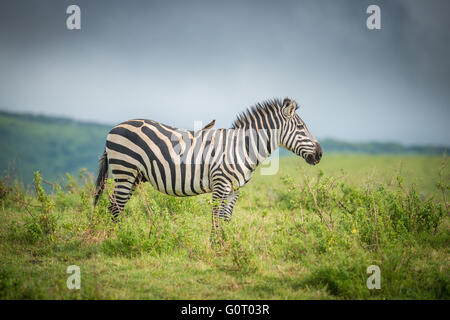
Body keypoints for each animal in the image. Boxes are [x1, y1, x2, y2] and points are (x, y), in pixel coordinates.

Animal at [93, 99, 322, 239]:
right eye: (301, 128)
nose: (320, 154)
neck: (242, 148)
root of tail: (114, 128)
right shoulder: (221, 185)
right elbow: (216, 217)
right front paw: (215, 246)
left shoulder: (234, 191)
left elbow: (226, 218)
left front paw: (227, 245)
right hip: (125, 170)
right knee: (115, 207)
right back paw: (116, 239)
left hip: (133, 176)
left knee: (115, 205)